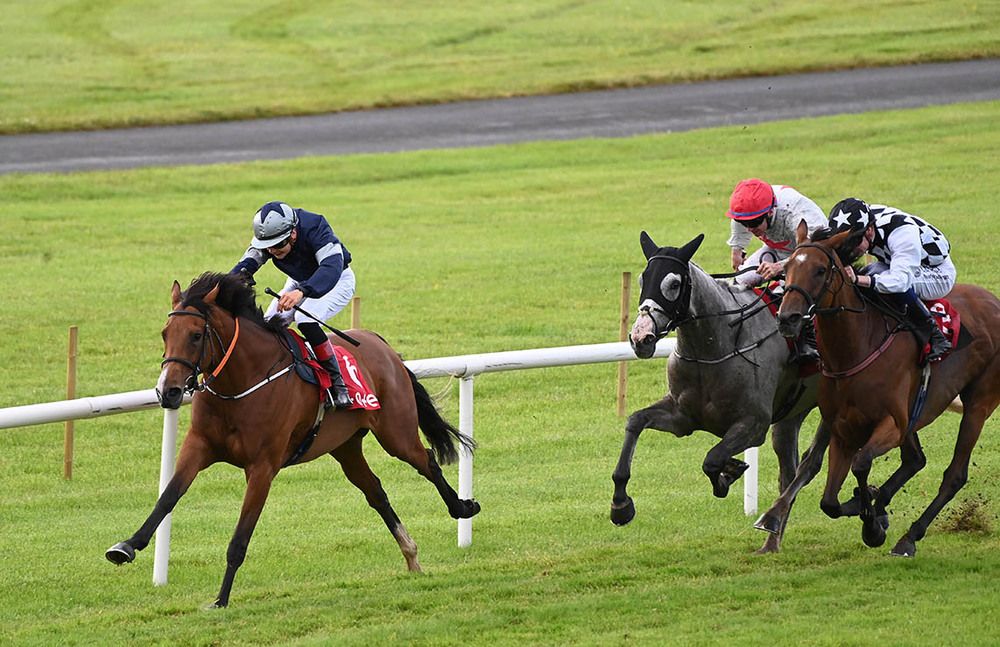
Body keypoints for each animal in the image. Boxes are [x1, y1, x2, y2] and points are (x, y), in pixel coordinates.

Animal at [105, 272, 480, 608]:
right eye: (165, 333)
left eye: (196, 335)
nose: (167, 391)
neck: (242, 383)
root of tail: (381, 344)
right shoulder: (198, 446)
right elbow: (168, 497)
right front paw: (126, 546)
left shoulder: (262, 467)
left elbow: (240, 537)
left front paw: (221, 599)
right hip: (345, 446)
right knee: (375, 490)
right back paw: (411, 553)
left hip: (395, 432)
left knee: (427, 461)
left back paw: (463, 507)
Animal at [608, 233, 828, 552]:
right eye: (641, 279)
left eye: (674, 284)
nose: (640, 338)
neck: (714, 347)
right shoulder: (682, 418)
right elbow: (635, 421)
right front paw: (620, 505)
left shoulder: (754, 425)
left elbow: (712, 460)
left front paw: (729, 473)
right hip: (791, 415)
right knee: (788, 471)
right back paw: (771, 541)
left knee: (810, 465)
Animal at [776, 223, 1000, 556]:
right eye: (787, 267)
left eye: (819, 270)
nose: (787, 318)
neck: (856, 348)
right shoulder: (843, 431)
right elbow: (828, 502)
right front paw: (867, 505)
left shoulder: (891, 425)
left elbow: (862, 463)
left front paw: (872, 525)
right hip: (916, 415)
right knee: (915, 460)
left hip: (978, 404)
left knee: (954, 475)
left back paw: (909, 537)